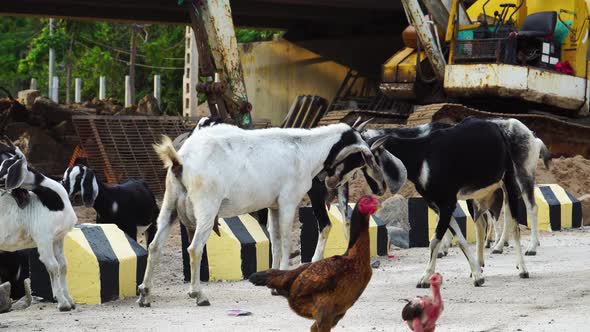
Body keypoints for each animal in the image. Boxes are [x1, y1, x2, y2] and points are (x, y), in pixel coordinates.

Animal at [0, 140, 77, 312]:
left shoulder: (58, 238)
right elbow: (53, 267)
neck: (55, 202)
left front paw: (70, 301)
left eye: (6, 166)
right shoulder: (43, 239)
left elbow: (63, 265)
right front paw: (63, 303)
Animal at [139, 121, 388, 306]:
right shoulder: (288, 202)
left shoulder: (274, 206)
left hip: (169, 206)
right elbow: (286, 240)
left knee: (154, 246)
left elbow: (275, 241)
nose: (332, 182)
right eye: (361, 158)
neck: (304, 150)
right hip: (207, 207)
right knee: (194, 248)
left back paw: (145, 294)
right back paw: (198, 294)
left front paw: (274, 280)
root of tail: (180, 160)